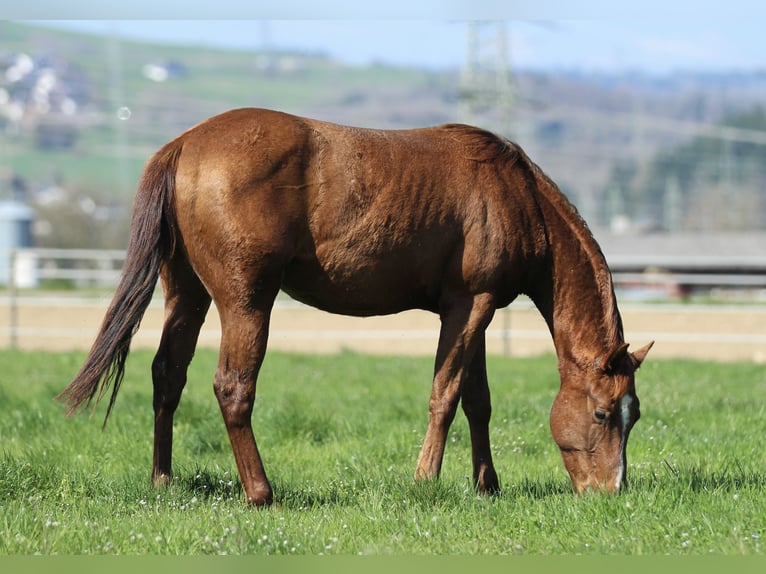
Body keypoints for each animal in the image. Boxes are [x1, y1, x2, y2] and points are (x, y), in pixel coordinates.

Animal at [59, 108, 653, 505]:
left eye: (636, 415)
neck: (515, 192)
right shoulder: (468, 307)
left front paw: (487, 485)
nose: (610, 492)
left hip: (187, 293)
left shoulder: (475, 314)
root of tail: (184, 145)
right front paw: (426, 480)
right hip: (246, 301)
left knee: (167, 376)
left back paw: (162, 480)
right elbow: (445, 395)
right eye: (603, 413)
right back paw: (261, 492)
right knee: (232, 388)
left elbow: (477, 402)